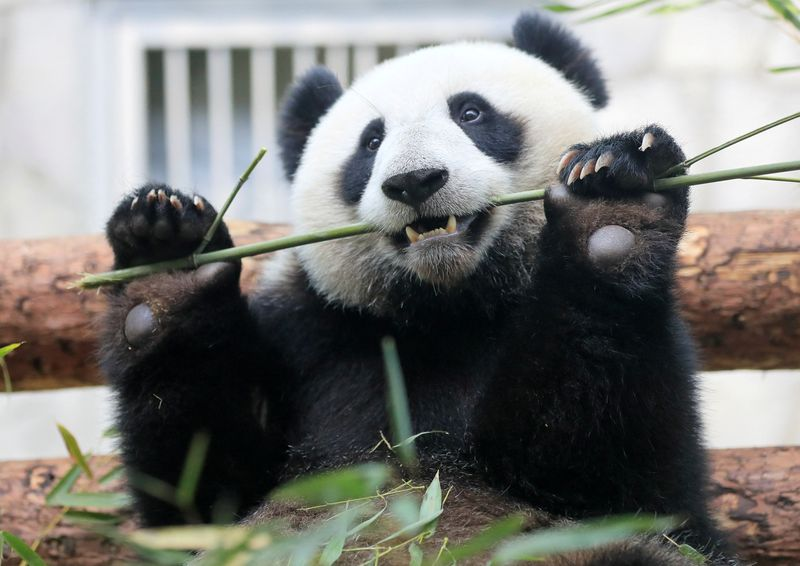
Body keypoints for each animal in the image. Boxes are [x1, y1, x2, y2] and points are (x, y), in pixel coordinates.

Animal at [100, 10, 736, 566]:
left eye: (471, 112)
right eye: (371, 141)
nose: (415, 182)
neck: (445, 306)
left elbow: (622, 483)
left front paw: (610, 200)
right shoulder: (311, 333)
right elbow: (199, 497)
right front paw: (164, 262)